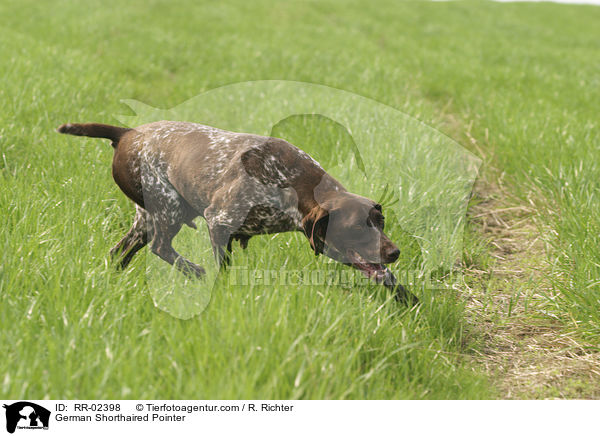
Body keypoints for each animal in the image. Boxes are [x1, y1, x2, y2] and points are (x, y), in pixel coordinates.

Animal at [59, 119, 418, 304]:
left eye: (380, 222)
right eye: (357, 227)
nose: (395, 252)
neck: (292, 182)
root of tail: (128, 133)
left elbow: (391, 281)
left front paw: (412, 303)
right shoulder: (219, 223)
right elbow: (223, 269)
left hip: (145, 220)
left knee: (119, 252)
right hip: (168, 208)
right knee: (161, 247)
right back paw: (194, 271)